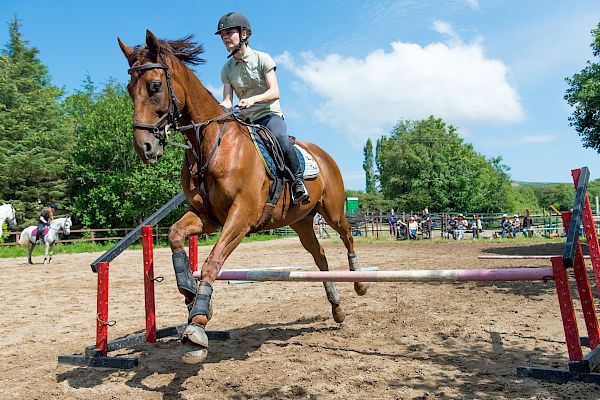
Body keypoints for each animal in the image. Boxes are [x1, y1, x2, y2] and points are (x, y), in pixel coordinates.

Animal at [118, 30, 366, 362]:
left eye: (155, 86)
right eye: (129, 89)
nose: (144, 147)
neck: (210, 143)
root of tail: (323, 154)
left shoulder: (241, 216)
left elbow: (212, 263)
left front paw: (197, 324)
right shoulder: (209, 217)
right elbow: (175, 235)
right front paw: (189, 292)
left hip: (333, 211)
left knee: (347, 236)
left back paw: (360, 281)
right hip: (301, 222)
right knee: (321, 258)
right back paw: (337, 308)